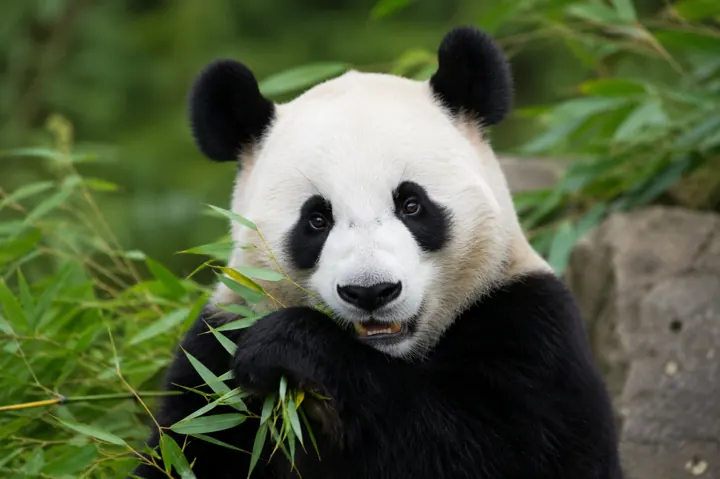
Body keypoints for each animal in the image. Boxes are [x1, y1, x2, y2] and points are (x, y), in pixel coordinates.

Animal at [130, 26, 623, 479]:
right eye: (316, 219)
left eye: (411, 204)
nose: (371, 292)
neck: (388, 355)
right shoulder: (215, 356)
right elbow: (188, 446)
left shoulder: (528, 323)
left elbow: (497, 448)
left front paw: (293, 346)